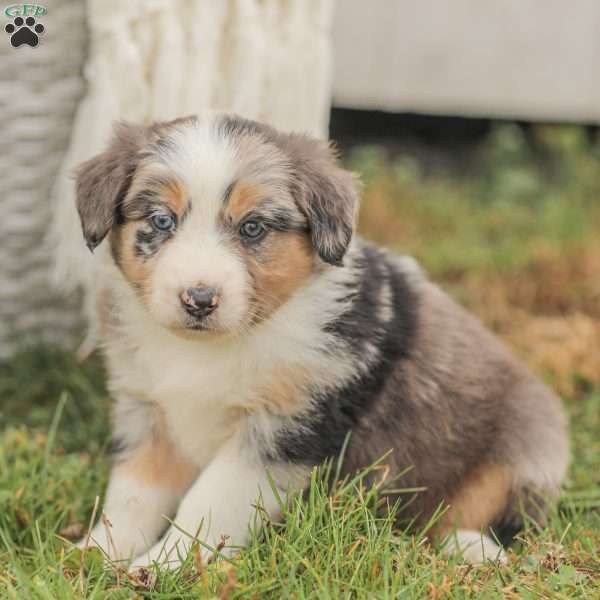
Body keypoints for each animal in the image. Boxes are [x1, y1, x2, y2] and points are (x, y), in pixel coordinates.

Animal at [74, 112, 568, 568]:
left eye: (252, 227)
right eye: (162, 220)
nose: (198, 299)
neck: (210, 348)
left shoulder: (283, 429)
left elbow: (207, 504)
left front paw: (162, 566)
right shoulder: (147, 413)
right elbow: (133, 495)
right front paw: (96, 554)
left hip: (526, 447)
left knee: (492, 515)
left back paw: (471, 549)